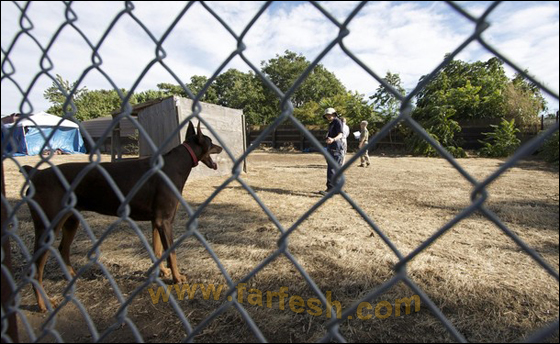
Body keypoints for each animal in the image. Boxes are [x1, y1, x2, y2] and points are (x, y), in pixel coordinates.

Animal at [21, 121, 223, 312]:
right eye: (211, 141)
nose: (221, 147)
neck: (178, 163)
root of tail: (36, 173)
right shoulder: (164, 220)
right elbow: (171, 252)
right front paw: (177, 277)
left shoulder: (155, 220)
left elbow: (157, 250)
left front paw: (162, 272)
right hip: (48, 225)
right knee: (35, 269)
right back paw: (44, 303)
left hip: (71, 219)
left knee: (63, 248)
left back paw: (71, 277)